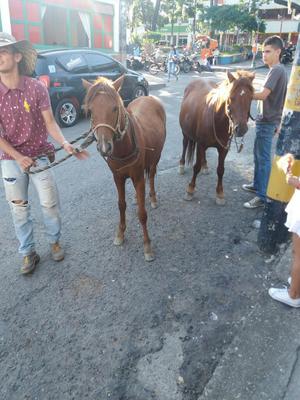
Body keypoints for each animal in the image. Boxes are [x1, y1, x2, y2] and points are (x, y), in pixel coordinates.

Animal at [82, 76, 166, 260]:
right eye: (90, 111)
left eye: (115, 108)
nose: (104, 147)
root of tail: (148, 97)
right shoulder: (118, 177)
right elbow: (121, 205)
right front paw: (120, 233)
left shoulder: (139, 177)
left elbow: (142, 213)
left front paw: (147, 245)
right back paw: (136, 197)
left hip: (156, 157)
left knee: (152, 175)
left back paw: (153, 198)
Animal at [179, 69, 254, 205]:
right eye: (230, 97)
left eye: (251, 98)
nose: (241, 129)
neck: (217, 119)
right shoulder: (201, 144)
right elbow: (196, 167)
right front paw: (190, 190)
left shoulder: (223, 149)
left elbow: (220, 170)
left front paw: (220, 193)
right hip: (185, 133)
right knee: (185, 144)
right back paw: (181, 165)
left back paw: (205, 165)